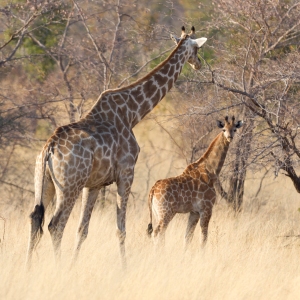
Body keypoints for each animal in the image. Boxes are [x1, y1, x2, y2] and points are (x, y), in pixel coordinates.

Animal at [27, 25, 207, 264]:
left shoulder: (94, 184)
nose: (199, 64)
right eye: (197, 48)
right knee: (55, 225)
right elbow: (121, 229)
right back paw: (57, 267)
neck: (132, 113)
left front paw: (74, 265)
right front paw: (125, 267)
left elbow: (82, 229)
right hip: (69, 185)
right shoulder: (126, 173)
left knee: (34, 220)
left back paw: (29, 267)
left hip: (44, 182)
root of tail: (49, 149)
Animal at [146, 116, 243, 246]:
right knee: (157, 233)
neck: (211, 170)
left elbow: (188, 236)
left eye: (234, 129)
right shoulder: (206, 209)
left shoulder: (194, 212)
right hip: (166, 212)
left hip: (157, 213)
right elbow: (204, 238)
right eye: (223, 129)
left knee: (157, 233)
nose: (230, 137)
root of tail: (152, 190)